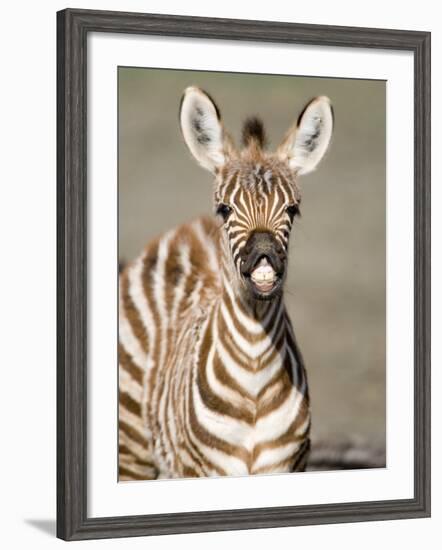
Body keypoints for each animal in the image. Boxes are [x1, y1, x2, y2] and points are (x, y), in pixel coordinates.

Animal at [119, 87, 334, 484]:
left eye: (292, 210)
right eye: (225, 209)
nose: (264, 257)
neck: (254, 375)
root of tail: (187, 229)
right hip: (132, 449)